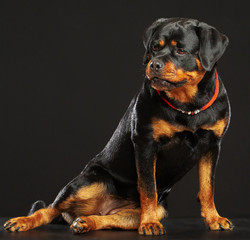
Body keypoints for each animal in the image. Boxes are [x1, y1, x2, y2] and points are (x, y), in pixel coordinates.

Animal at [4, 17, 234, 235]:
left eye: (181, 50)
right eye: (154, 48)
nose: (154, 65)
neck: (187, 105)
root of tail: (99, 207)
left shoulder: (212, 145)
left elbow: (207, 187)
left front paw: (214, 218)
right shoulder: (145, 144)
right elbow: (148, 189)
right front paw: (149, 223)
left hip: (156, 209)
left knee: (109, 219)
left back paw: (86, 222)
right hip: (88, 182)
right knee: (50, 208)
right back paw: (23, 221)